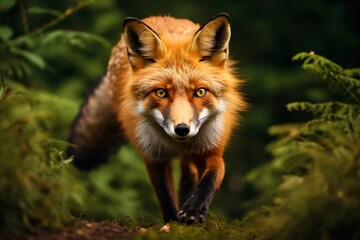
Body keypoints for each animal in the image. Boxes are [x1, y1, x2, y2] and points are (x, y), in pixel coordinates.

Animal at [68, 12, 248, 223]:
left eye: (200, 92)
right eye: (161, 93)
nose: (182, 129)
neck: (176, 144)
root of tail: (164, 17)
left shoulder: (209, 150)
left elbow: (211, 177)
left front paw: (194, 209)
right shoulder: (154, 156)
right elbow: (165, 195)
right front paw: (171, 221)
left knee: (188, 175)